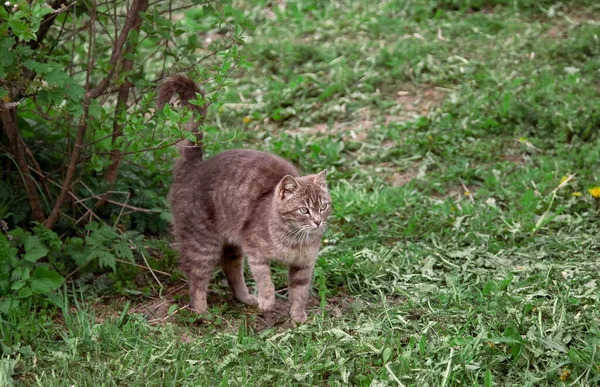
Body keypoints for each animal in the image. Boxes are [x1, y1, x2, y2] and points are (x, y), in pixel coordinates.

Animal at [156, 74, 332, 322]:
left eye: (323, 206)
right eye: (303, 210)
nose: (317, 221)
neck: (294, 239)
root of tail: (193, 167)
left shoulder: (304, 264)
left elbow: (300, 292)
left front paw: (298, 317)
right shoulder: (255, 250)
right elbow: (264, 278)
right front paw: (267, 301)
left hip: (231, 243)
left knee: (230, 268)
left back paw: (245, 297)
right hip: (203, 243)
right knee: (196, 278)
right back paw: (202, 312)